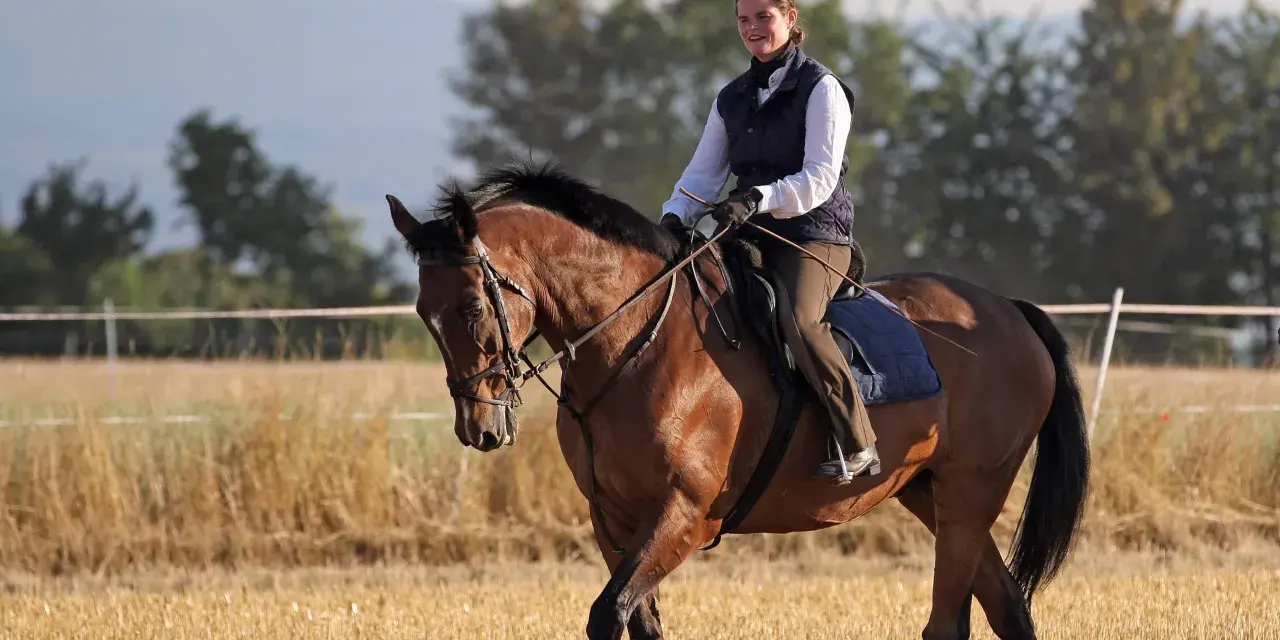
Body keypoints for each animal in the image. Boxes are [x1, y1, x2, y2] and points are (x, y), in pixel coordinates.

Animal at [384, 161, 1090, 640]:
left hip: (972, 493)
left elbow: (609, 613)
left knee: (951, 622)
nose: (478, 427)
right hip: (931, 491)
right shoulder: (612, 519)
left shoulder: (685, 515)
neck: (636, 343)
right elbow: (640, 622)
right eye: (422, 313)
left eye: (472, 307)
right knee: (1008, 608)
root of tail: (1011, 311)